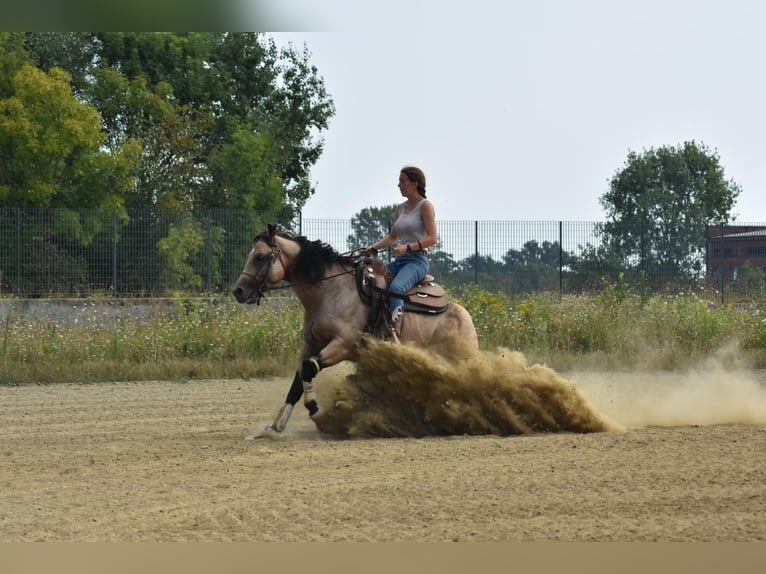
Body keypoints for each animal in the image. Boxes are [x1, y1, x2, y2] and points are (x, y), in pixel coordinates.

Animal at [232, 223, 480, 434]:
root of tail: (462, 312)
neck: (331, 291)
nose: (238, 291)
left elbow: (310, 368)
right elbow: (298, 379)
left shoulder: (343, 344)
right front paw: (276, 426)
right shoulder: (312, 343)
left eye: (260, 256)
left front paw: (314, 408)